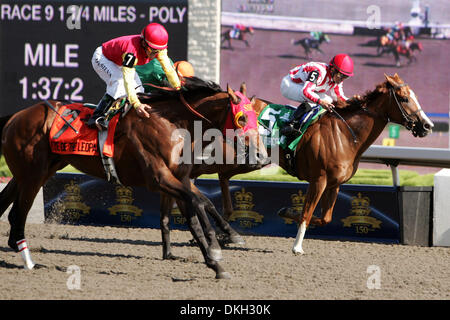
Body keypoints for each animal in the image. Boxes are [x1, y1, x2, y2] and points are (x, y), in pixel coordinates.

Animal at [0, 77, 268, 278]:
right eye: (242, 118)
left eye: (256, 118)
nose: (263, 157)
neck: (171, 124)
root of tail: (16, 116)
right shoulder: (159, 179)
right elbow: (200, 203)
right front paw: (216, 246)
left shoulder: (178, 180)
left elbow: (194, 215)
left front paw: (214, 263)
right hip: (33, 175)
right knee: (18, 214)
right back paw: (27, 258)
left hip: (37, 172)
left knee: (8, 205)